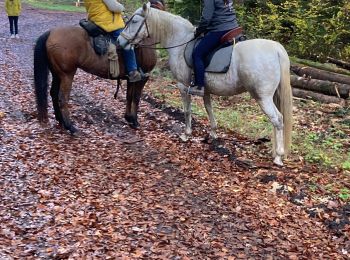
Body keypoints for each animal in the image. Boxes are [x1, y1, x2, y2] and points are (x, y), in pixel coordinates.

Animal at [33, 2, 164, 135]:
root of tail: (50, 32)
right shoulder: (143, 77)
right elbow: (136, 98)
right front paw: (135, 121)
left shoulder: (132, 78)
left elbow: (129, 96)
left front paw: (129, 118)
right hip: (67, 74)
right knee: (62, 98)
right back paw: (70, 127)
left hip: (57, 73)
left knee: (53, 93)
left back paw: (61, 121)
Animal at [117, 3, 292, 166]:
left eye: (134, 21)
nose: (119, 41)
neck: (180, 41)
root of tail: (276, 49)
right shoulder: (206, 90)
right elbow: (209, 109)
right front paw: (213, 133)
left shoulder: (183, 86)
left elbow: (187, 111)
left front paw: (186, 134)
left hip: (263, 97)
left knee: (277, 120)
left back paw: (278, 156)